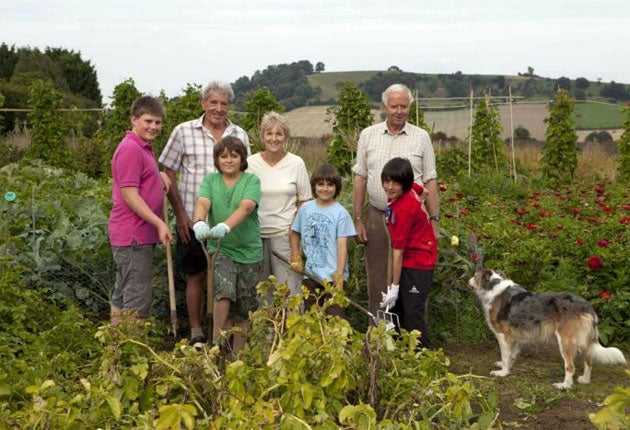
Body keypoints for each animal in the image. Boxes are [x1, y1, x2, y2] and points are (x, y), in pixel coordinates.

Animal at [470, 268, 628, 390]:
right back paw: (584, 380)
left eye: (475, 275)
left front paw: (503, 372)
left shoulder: (503, 336)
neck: (493, 287)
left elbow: (505, 355)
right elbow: (511, 355)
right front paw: (506, 366)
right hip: (583, 342)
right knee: (589, 362)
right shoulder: (515, 336)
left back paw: (564, 386)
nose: (468, 280)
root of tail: (587, 306)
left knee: (570, 366)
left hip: (565, 342)